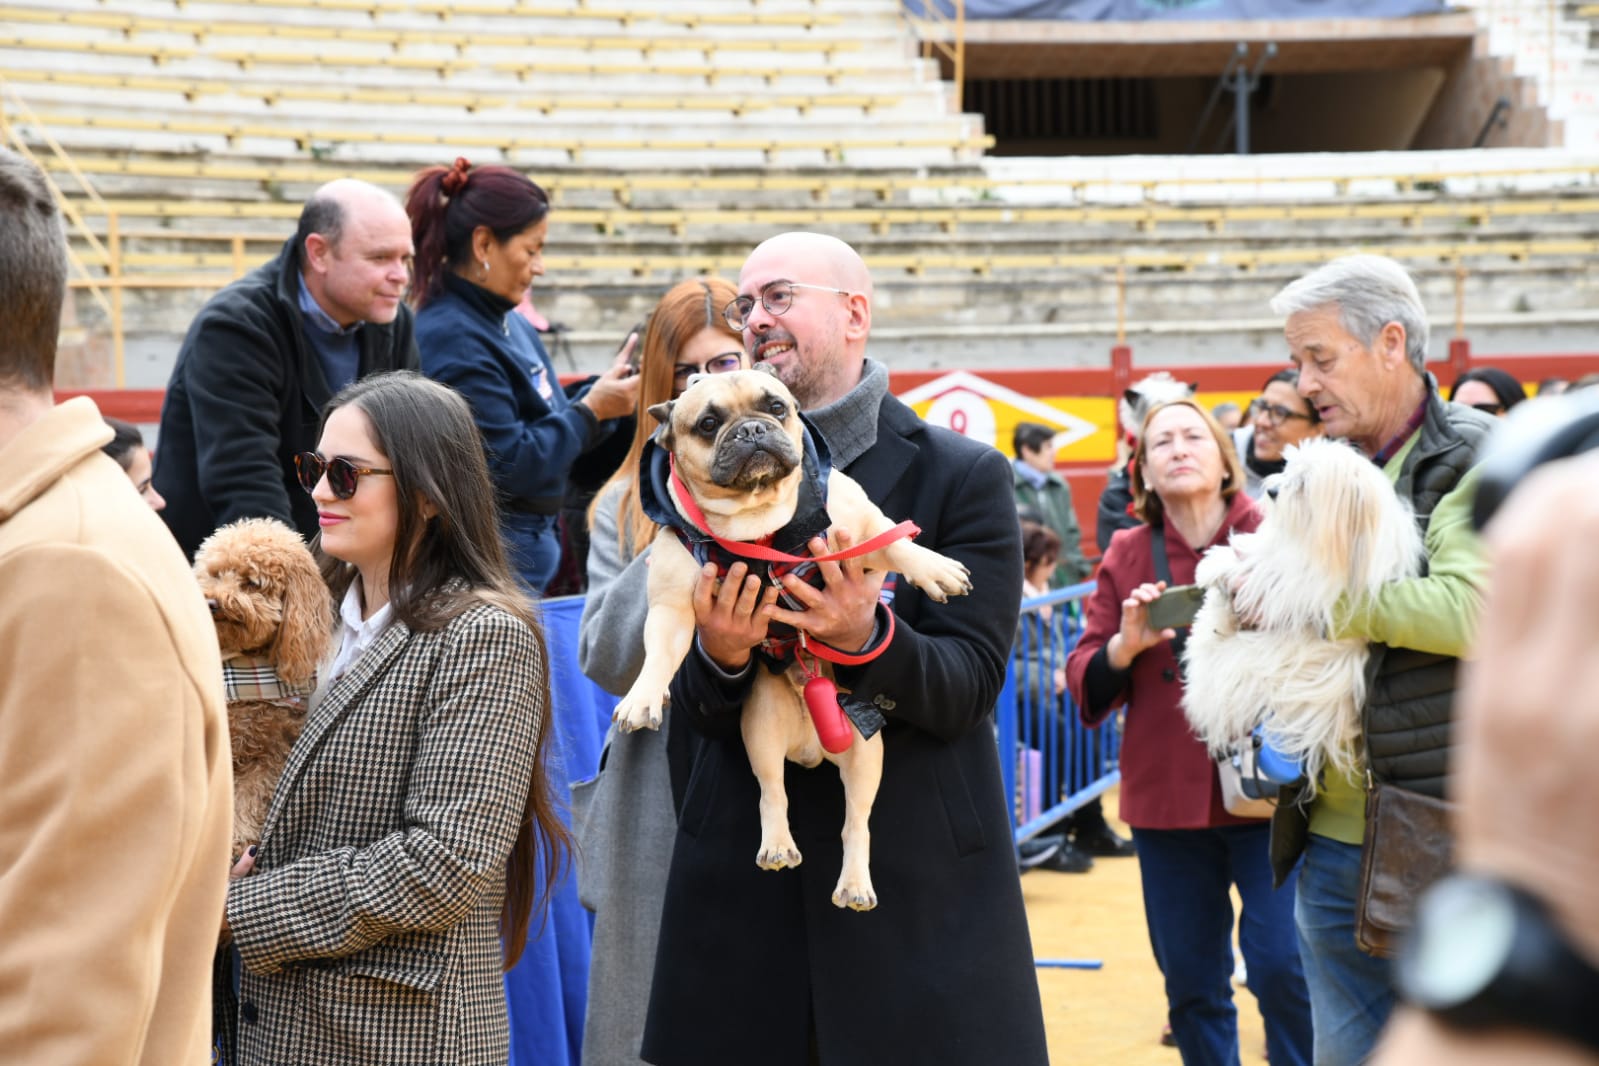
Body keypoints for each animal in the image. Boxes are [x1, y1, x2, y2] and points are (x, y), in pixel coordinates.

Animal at [1189, 434, 1426, 792]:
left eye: (1303, 485)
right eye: (1288, 469)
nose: (1272, 491)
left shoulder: (1309, 581)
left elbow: (1269, 573)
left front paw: (1228, 570)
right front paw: (1217, 565)